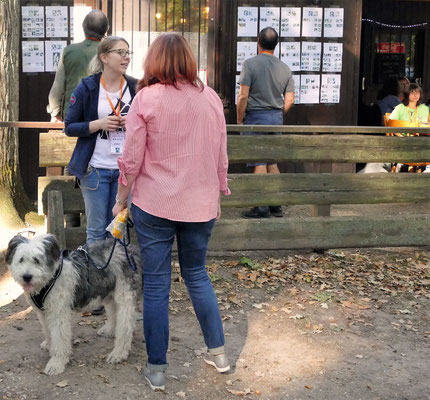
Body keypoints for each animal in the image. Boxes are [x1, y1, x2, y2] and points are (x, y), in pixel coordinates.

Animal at [5, 234, 142, 376]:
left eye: (37, 260)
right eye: (21, 259)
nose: (27, 277)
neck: (49, 279)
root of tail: (131, 249)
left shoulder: (58, 312)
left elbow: (59, 339)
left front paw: (57, 363)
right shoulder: (43, 311)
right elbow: (48, 330)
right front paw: (49, 344)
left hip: (125, 295)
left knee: (126, 326)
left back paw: (119, 353)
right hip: (110, 293)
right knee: (113, 312)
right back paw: (109, 330)